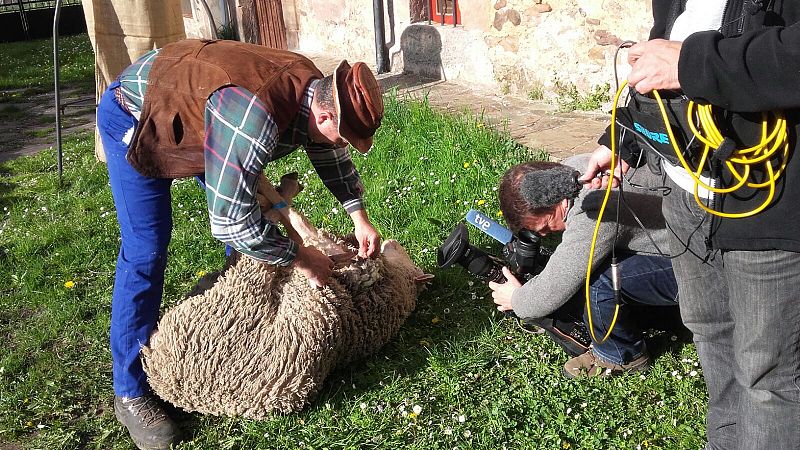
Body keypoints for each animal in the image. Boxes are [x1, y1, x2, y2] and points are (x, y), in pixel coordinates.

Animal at [141, 173, 434, 418]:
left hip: (245, 284)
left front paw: (278, 193)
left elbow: (297, 222)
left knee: (256, 243)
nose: (389, 242)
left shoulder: (330, 254)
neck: (396, 284)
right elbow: (297, 228)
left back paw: (270, 193)